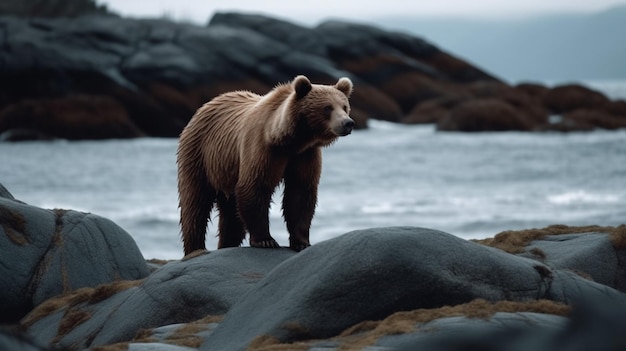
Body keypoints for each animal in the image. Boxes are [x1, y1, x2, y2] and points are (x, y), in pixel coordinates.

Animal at [177, 75, 352, 254]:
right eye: (327, 107)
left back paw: (226, 244)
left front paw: (301, 242)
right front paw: (265, 240)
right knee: (195, 203)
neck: (289, 140)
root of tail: (206, 105)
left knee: (231, 215)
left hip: (225, 169)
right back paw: (195, 248)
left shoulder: (304, 155)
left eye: (344, 106)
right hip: (200, 154)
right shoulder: (263, 149)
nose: (348, 123)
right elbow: (255, 187)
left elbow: (300, 193)